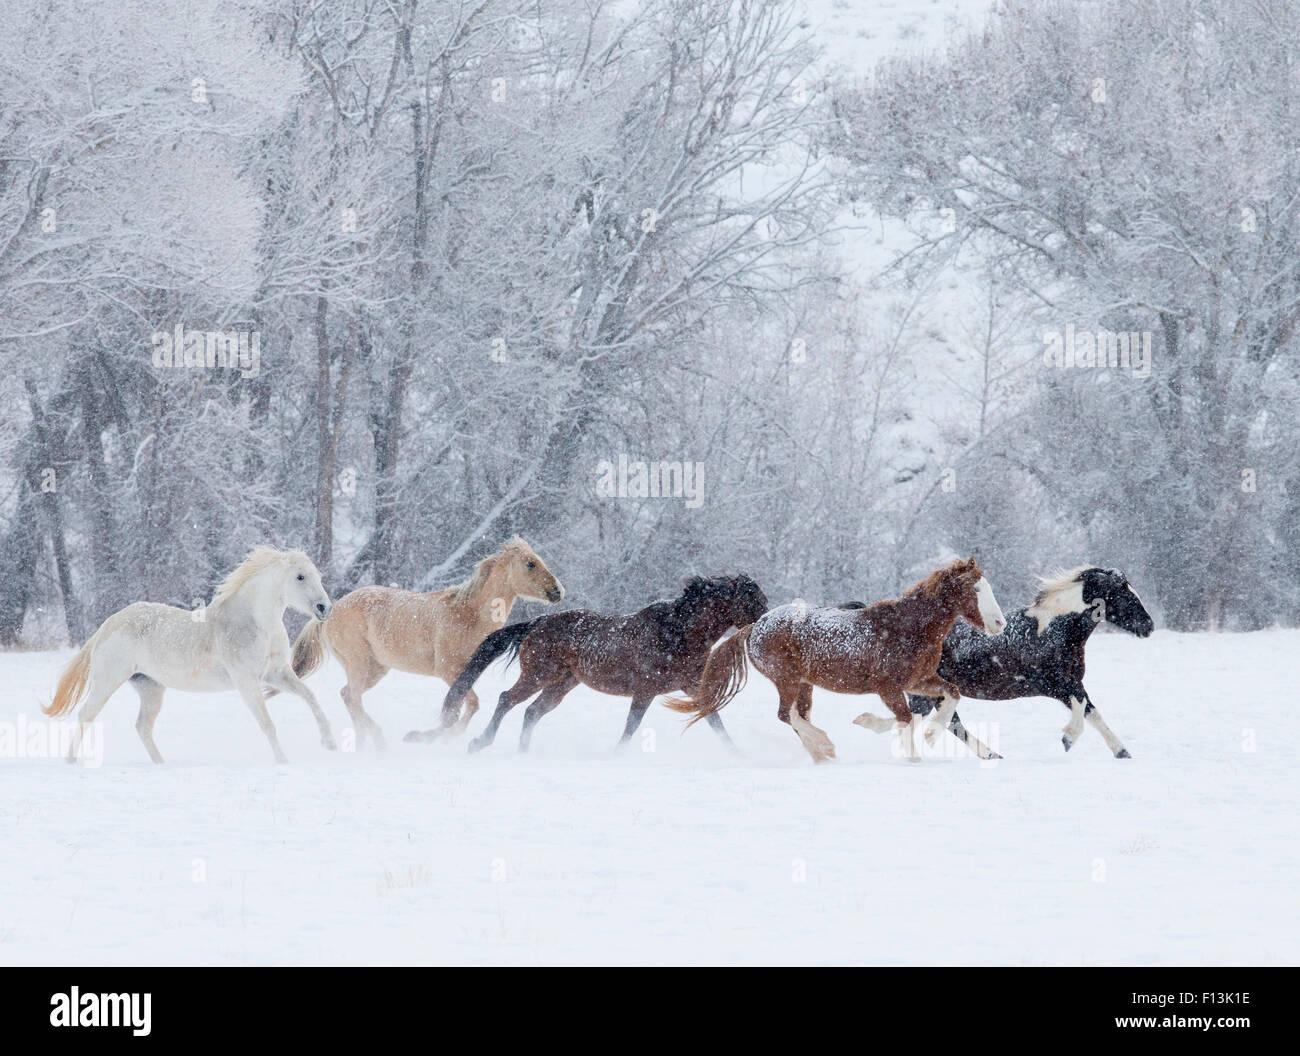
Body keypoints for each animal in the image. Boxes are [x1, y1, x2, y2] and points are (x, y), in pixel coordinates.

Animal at [45, 548, 338, 764]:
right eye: (300, 577)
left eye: (317, 574)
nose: (325, 608)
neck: (255, 624)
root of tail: (108, 624)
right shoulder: (247, 682)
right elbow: (267, 723)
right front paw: (283, 760)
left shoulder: (276, 674)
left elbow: (310, 697)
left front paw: (329, 742)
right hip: (107, 681)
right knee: (86, 716)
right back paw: (70, 762)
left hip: (150, 687)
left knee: (143, 727)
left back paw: (161, 764)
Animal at [288, 535, 559, 749]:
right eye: (530, 563)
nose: (558, 591)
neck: (468, 614)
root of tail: (328, 613)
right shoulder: (449, 669)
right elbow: (459, 710)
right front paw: (423, 737)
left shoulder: (467, 671)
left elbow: (466, 708)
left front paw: (444, 738)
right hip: (359, 663)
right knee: (353, 698)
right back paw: (378, 740)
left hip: (375, 669)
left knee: (347, 696)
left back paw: (364, 743)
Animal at [405, 572, 764, 754]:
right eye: (751, 600)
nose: (765, 623)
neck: (677, 632)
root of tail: (537, 622)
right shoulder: (645, 690)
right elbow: (631, 726)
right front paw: (616, 755)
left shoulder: (691, 687)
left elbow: (715, 720)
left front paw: (737, 753)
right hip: (538, 675)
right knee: (508, 700)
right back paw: (481, 742)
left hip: (563, 684)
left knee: (532, 712)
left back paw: (523, 752)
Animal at [665, 556, 1008, 764]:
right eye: (976, 588)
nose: (1000, 624)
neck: (907, 628)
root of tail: (755, 625)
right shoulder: (888, 687)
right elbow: (906, 717)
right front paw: (909, 751)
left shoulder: (919, 681)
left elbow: (950, 695)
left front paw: (931, 735)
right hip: (786, 679)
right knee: (786, 715)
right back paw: (825, 745)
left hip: (804, 685)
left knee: (797, 716)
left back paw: (822, 755)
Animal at [847, 569, 1154, 759]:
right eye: (1123, 594)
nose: (1149, 626)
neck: (1053, 631)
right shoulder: (1054, 685)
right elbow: (1081, 708)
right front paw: (1068, 739)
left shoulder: (1073, 683)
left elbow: (1094, 713)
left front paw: (1122, 752)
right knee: (929, 720)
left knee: (940, 721)